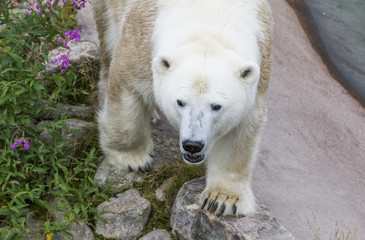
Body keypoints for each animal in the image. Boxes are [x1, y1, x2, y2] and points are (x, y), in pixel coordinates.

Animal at [92, 0, 272, 217]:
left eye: (216, 106)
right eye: (180, 102)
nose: (192, 145)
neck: (209, 17)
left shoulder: (260, 64)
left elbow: (239, 133)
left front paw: (223, 199)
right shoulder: (141, 38)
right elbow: (128, 89)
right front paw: (133, 159)